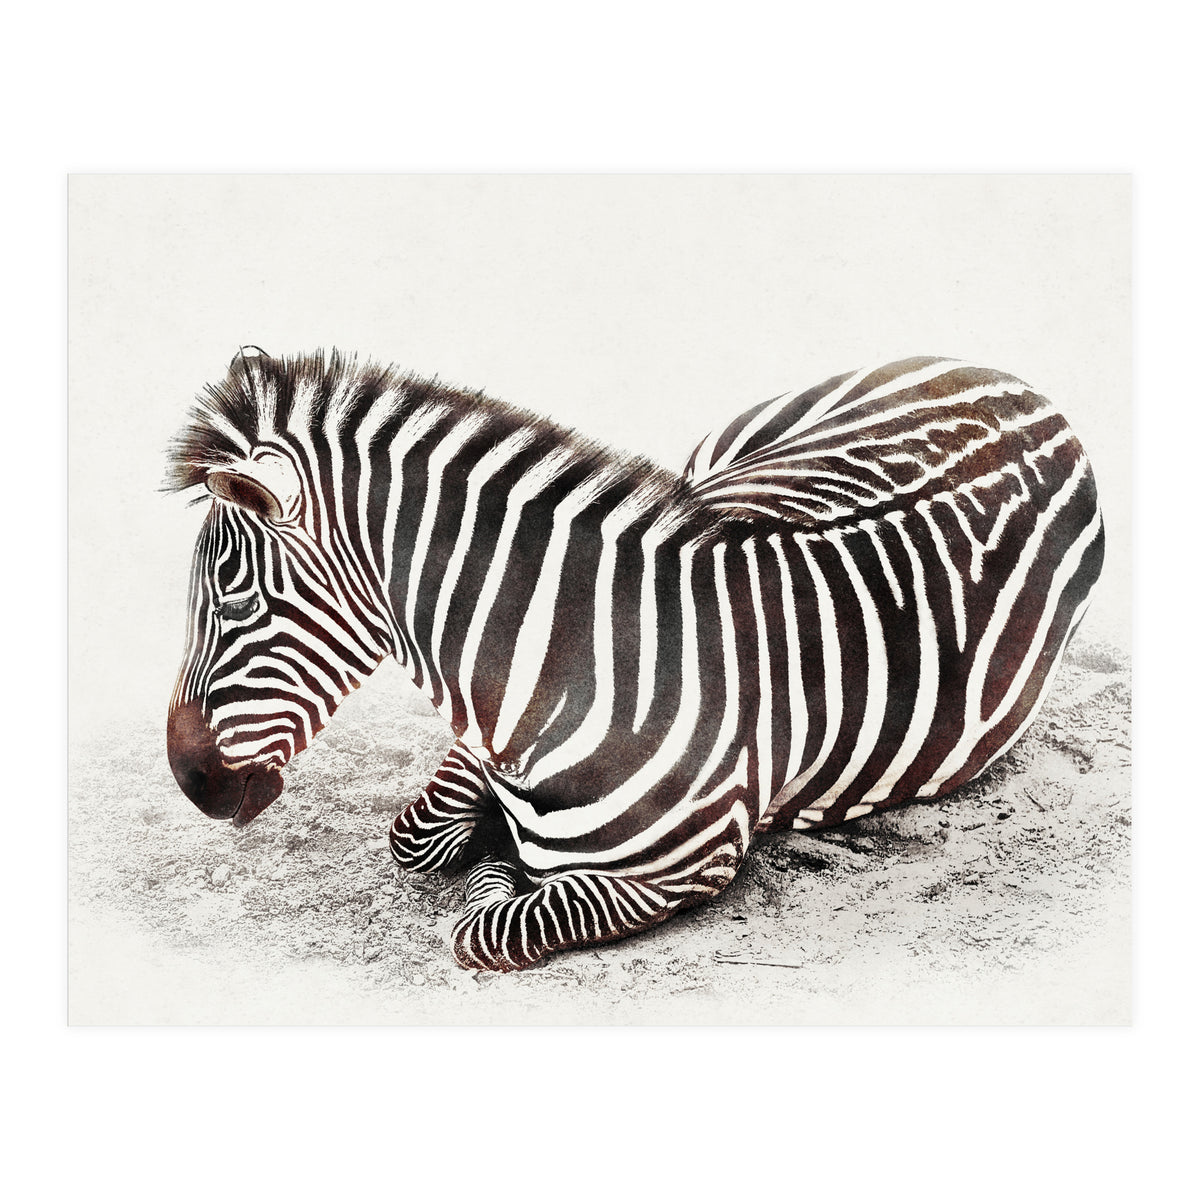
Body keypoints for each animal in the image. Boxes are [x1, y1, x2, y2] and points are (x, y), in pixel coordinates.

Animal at [165, 347, 1104, 972]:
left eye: (235, 601)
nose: (190, 781)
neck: (579, 664)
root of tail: (1031, 390)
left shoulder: (683, 868)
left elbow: (487, 923)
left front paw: (500, 862)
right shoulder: (479, 744)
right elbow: (419, 837)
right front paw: (488, 838)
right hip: (719, 459)